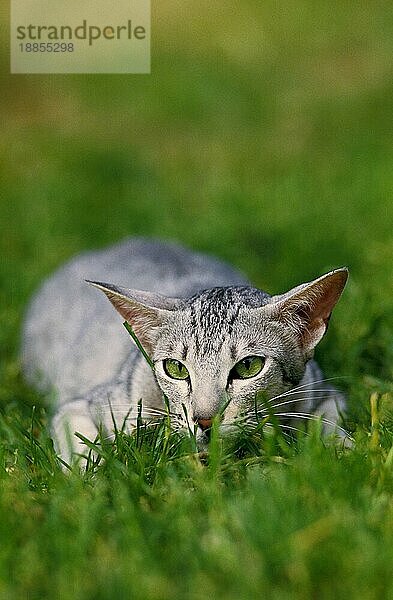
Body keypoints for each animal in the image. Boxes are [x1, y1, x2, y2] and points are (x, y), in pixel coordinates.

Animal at [19, 237, 348, 462]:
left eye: (248, 367)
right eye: (176, 369)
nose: (204, 420)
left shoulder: (322, 392)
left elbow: (332, 424)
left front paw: (340, 454)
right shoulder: (82, 407)